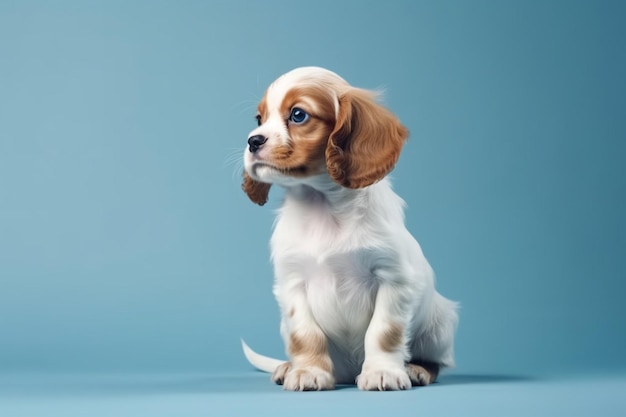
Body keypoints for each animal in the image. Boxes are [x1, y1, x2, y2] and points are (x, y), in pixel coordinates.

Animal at [241, 66, 456, 390]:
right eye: (259, 119)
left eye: (298, 115)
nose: (253, 141)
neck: (323, 205)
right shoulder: (292, 282)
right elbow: (306, 334)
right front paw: (308, 372)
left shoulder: (393, 279)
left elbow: (383, 332)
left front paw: (382, 372)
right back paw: (287, 367)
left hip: (440, 324)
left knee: (437, 361)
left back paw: (417, 369)